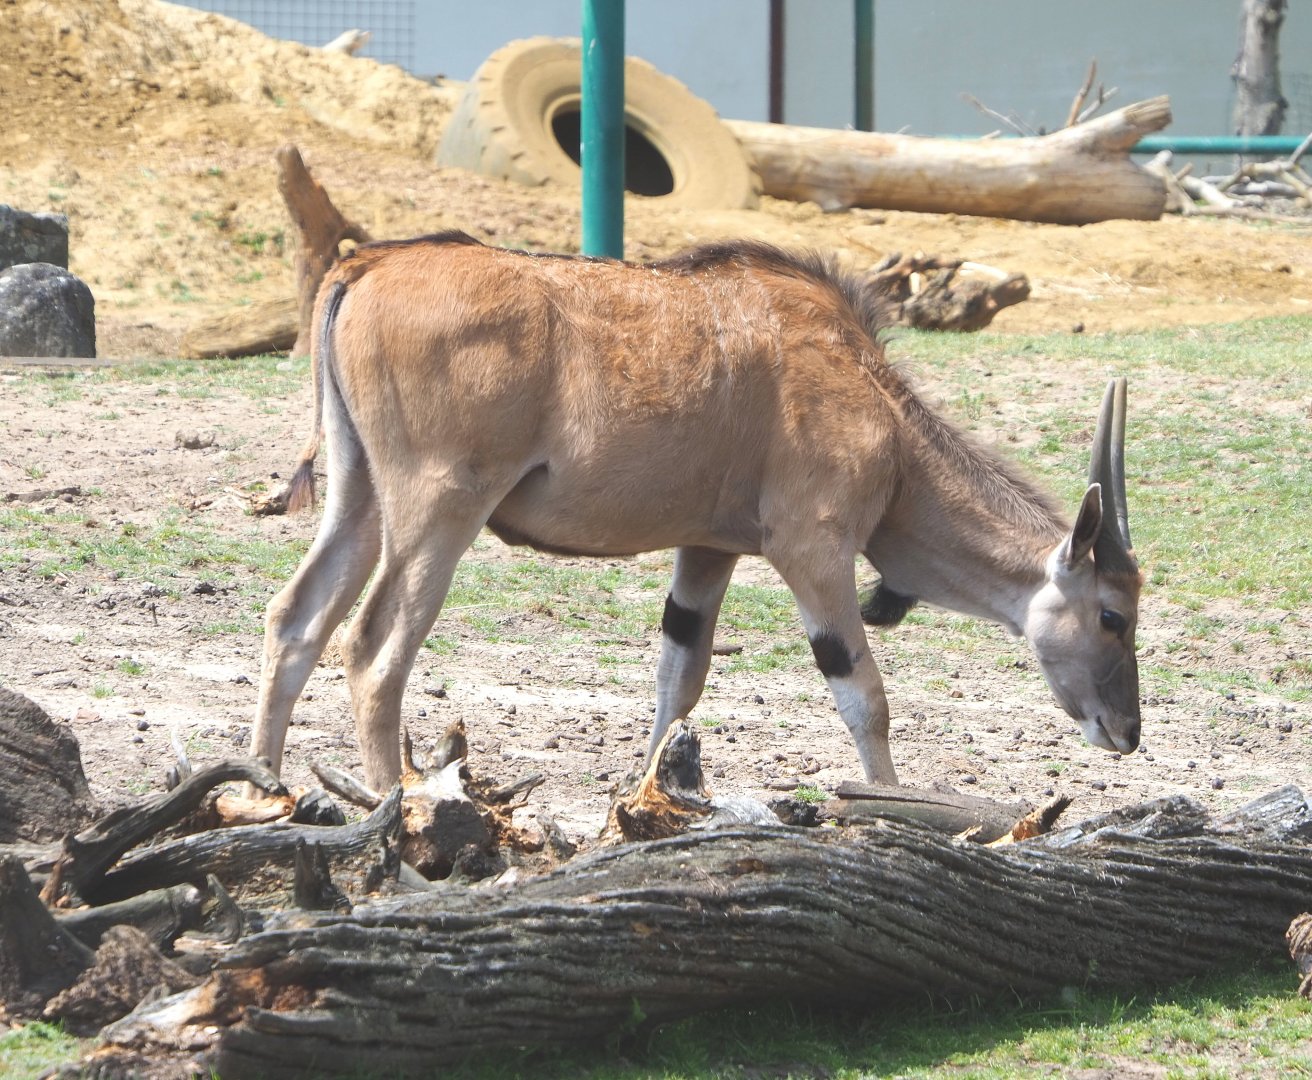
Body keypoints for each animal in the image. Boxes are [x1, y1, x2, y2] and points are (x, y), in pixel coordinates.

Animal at [252, 231, 1141, 790]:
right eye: (1113, 616)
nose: (1126, 732)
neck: (878, 406)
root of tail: (365, 267)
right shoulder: (812, 551)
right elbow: (863, 694)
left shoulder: (709, 552)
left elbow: (678, 679)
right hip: (440, 507)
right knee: (373, 649)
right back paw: (391, 815)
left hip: (360, 496)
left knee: (296, 619)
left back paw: (265, 791)